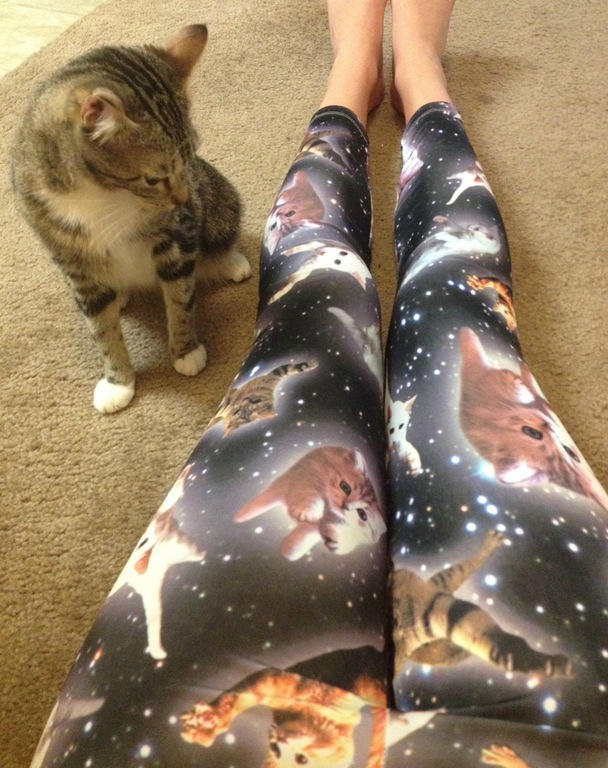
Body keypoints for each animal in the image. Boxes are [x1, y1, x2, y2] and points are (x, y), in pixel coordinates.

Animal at [11, 25, 250, 414]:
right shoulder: (69, 256)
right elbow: (102, 330)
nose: (183, 198)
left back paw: (232, 262)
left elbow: (180, 299)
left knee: (219, 237)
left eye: (189, 157)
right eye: (154, 178)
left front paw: (186, 352)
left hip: (219, 203)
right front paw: (117, 382)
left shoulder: (177, 233)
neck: (103, 194)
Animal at [180, 669, 388, 768]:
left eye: (301, 759)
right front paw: (206, 722)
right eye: (275, 749)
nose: (279, 739)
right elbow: (240, 695)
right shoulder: (277, 684)